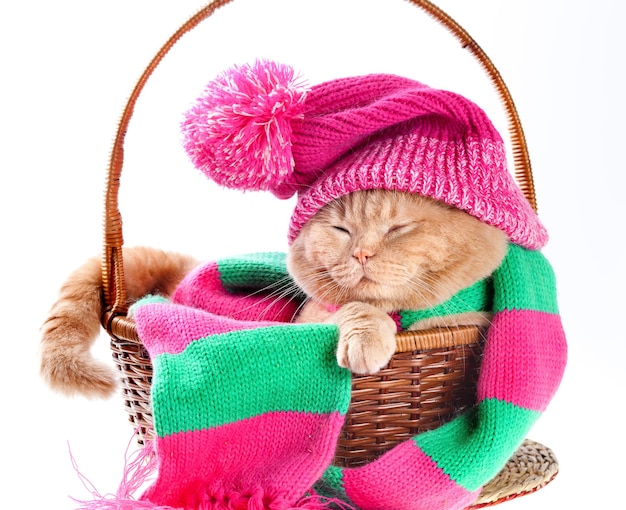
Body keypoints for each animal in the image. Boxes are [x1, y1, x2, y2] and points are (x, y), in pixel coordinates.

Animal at [40, 190, 508, 398]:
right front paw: (368, 334)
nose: (361, 253)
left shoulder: (469, 320)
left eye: (398, 228)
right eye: (341, 230)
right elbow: (357, 309)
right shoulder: (313, 316)